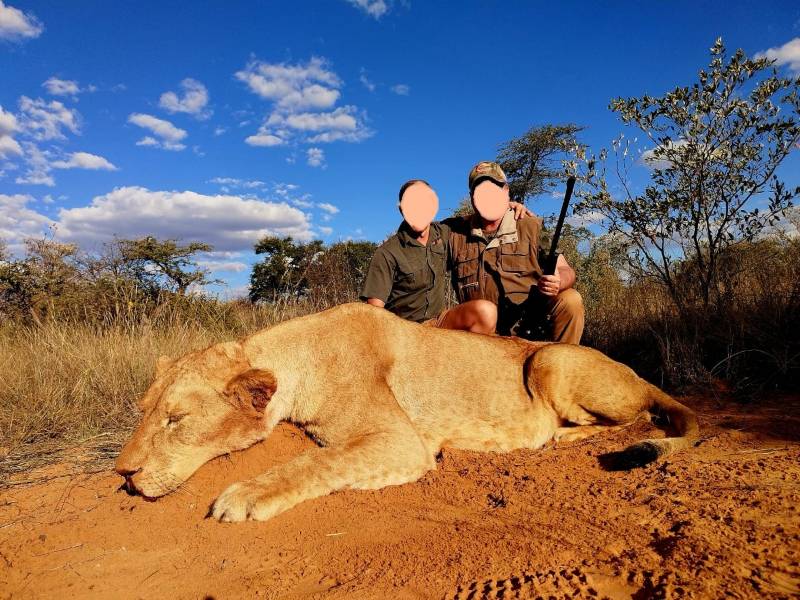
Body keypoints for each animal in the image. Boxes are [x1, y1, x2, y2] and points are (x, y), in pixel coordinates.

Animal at [116, 302, 698, 522]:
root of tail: (638, 372)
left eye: (175, 419)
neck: (297, 358)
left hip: (549, 358)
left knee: (636, 417)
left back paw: (565, 438)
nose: (122, 473)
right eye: (144, 411)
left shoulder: (402, 440)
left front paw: (242, 496)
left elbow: (316, 461)